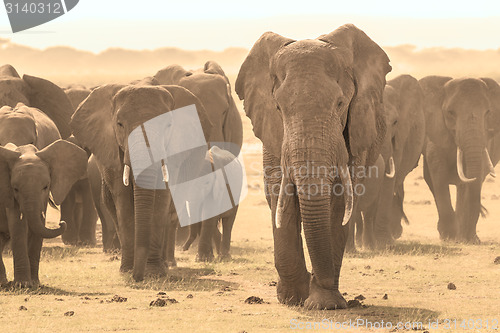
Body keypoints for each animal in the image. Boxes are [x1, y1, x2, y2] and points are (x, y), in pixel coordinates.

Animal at [69, 83, 212, 280]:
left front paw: (154, 273)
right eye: (120, 124)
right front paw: (127, 270)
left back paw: (166, 265)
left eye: (168, 125)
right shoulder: (112, 151)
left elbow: (162, 200)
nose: (138, 277)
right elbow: (123, 201)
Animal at [234, 24, 390, 310]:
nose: (317, 278)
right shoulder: (273, 133)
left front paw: (324, 303)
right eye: (278, 107)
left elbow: (338, 201)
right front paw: (293, 298)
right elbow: (280, 195)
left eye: (340, 104)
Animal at [418, 76, 500, 241]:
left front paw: (470, 239)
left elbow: (477, 173)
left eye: (488, 112)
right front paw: (449, 237)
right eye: (450, 113)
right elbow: (438, 173)